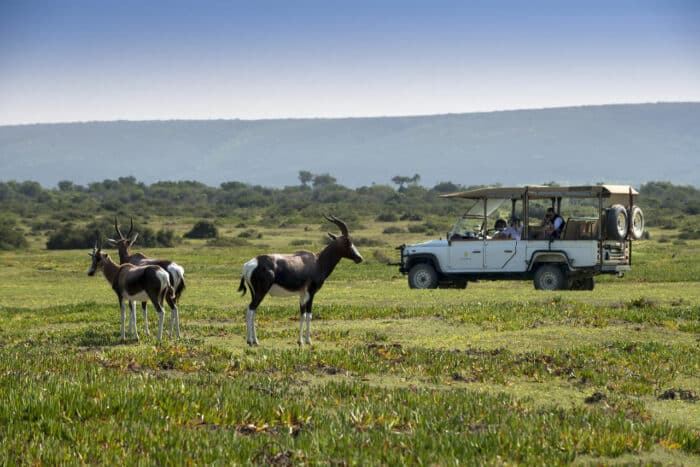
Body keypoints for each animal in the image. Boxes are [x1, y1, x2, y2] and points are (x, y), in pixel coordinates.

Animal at [238, 216, 364, 348]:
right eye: (347, 241)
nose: (359, 258)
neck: (317, 261)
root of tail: (249, 265)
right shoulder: (311, 293)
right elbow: (309, 315)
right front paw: (308, 341)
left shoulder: (302, 294)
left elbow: (302, 314)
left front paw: (300, 341)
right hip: (261, 292)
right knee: (250, 310)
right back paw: (250, 341)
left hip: (254, 293)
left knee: (252, 311)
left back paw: (255, 341)